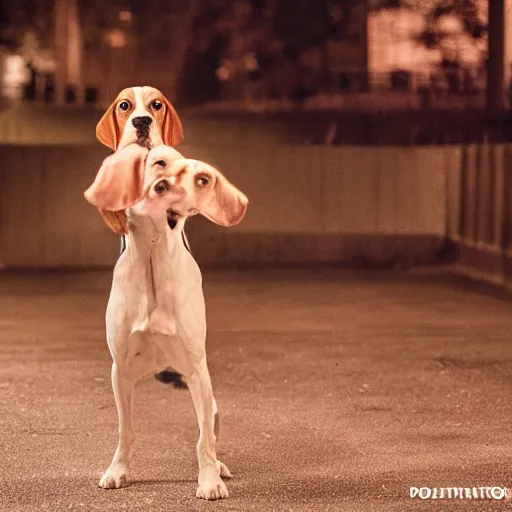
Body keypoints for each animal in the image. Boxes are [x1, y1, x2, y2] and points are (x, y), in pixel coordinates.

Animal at [84, 143, 248, 500]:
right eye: (159, 163)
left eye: (201, 178)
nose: (164, 187)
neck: (152, 256)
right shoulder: (121, 371)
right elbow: (126, 431)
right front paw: (118, 471)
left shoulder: (197, 371)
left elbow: (203, 440)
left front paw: (209, 480)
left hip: (208, 395)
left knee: (208, 433)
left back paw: (218, 467)